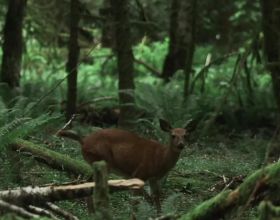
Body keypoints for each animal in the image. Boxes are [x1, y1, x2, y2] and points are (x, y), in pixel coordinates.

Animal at [57, 119, 192, 212]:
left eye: (185, 135)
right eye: (173, 135)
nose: (181, 145)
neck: (161, 158)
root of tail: (84, 141)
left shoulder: (153, 178)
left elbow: (155, 197)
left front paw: (160, 215)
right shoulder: (140, 173)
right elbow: (135, 201)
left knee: (87, 183)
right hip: (103, 159)